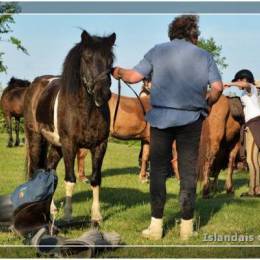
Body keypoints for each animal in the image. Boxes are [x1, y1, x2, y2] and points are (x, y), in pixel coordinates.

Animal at [23, 30, 116, 221]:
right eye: (87, 58)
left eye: (110, 60)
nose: (102, 93)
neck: (85, 110)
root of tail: (35, 84)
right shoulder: (69, 144)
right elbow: (70, 179)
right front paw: (67, 216)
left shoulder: (100, 145)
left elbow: (95, 179)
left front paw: (96, 216)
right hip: (36, 139)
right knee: (34, 171)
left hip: (56, 145)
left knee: (49, 170)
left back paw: (51, 209)